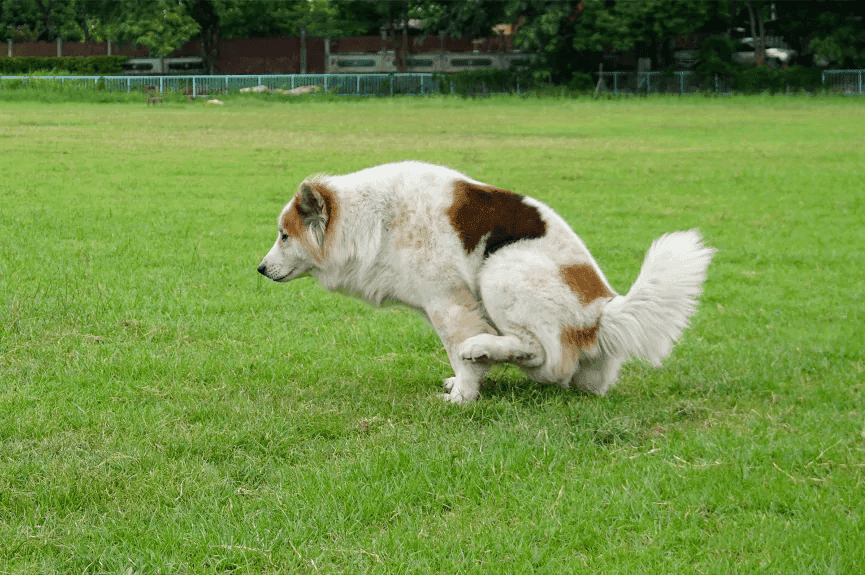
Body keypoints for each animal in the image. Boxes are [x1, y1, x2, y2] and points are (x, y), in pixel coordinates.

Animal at [258, 162, 716, 402]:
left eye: (284, 236)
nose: (260, 269)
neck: (376, 218)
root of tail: (601, 314)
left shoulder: (448, 301)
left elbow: (456, 351)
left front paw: (463, 394)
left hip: (501, 268)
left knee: (546, 358)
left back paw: (485, 349)